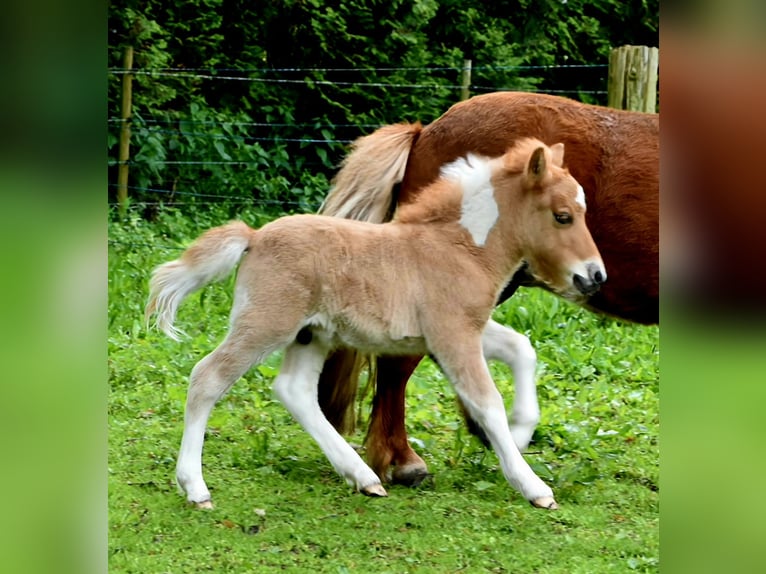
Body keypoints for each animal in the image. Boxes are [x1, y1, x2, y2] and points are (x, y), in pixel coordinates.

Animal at [147, 137, 608, 510]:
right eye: (563, 216)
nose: (594, 276)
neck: (459, 248)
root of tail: (255, 237)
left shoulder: (462, 329)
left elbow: (521, 349)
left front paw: (522, 431)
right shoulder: (454, 336)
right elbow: (487, 401)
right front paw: (533, 486)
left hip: (310, 335)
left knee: (295, 391)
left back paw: (363, 477)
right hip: (265, 324)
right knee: (207, 377)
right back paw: (195, 488)